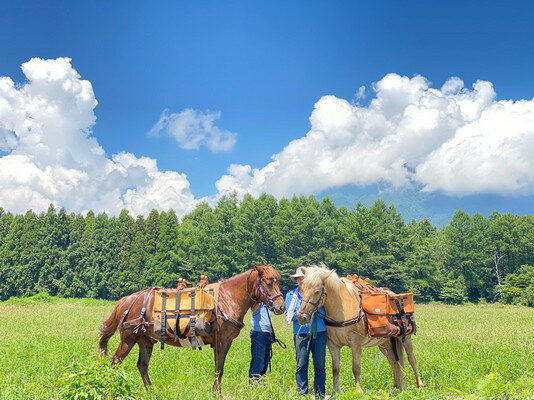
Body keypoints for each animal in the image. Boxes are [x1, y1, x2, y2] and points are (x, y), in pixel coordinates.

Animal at [98, 266, 286, 390]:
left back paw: (150, 390)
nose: (281, 307)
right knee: (115, 362)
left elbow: (218, 368)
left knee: (142, 365)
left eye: (277, 282)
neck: (227, 299)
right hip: (128, 338)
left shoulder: (223, 343)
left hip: (145, 340)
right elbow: (219, 369)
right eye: (269, 283)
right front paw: (216, 392)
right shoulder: (222, 341)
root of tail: (128, 299)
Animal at [298, 266, 422, 394]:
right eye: (302, 289)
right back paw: (398, 388)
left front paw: (358, 390)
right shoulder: (332, 344)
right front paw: (335, 392)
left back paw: (419, 385)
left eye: (317, 292)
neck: (343, 308)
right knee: (394, 362)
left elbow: (356, 367)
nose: (301, 317)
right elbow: (335, 368)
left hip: (405, 339)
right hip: (385, 343)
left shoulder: (355, 344)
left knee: (412, 359)